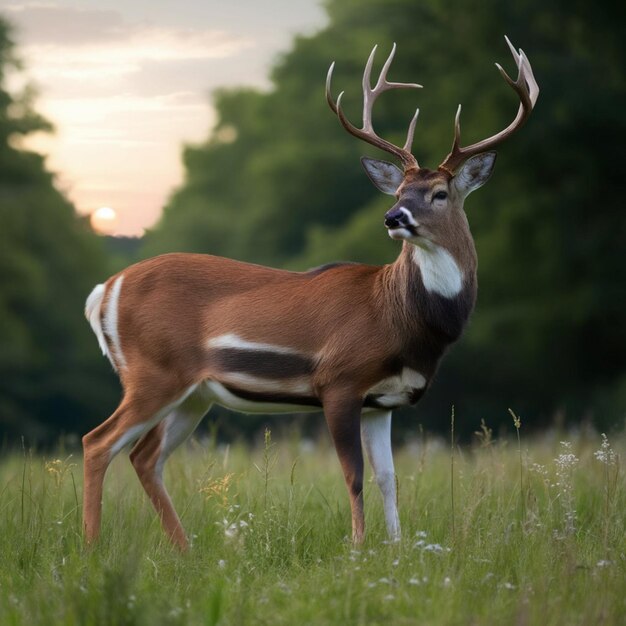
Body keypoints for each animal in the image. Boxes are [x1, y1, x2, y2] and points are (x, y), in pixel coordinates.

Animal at [84, 37, 536, 544]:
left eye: (439, 193)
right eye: (397, 190)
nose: (393, 217)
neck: (398, 316)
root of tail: (105, 290)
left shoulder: (384, 401)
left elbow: (389, 478)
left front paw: (397, 548)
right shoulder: (338, 380)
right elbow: (353, 475)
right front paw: (358, 549)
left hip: (193, 392)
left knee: (144, 455)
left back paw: (184, 549)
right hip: (152, 372)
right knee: (98, 442)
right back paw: (92, 547)